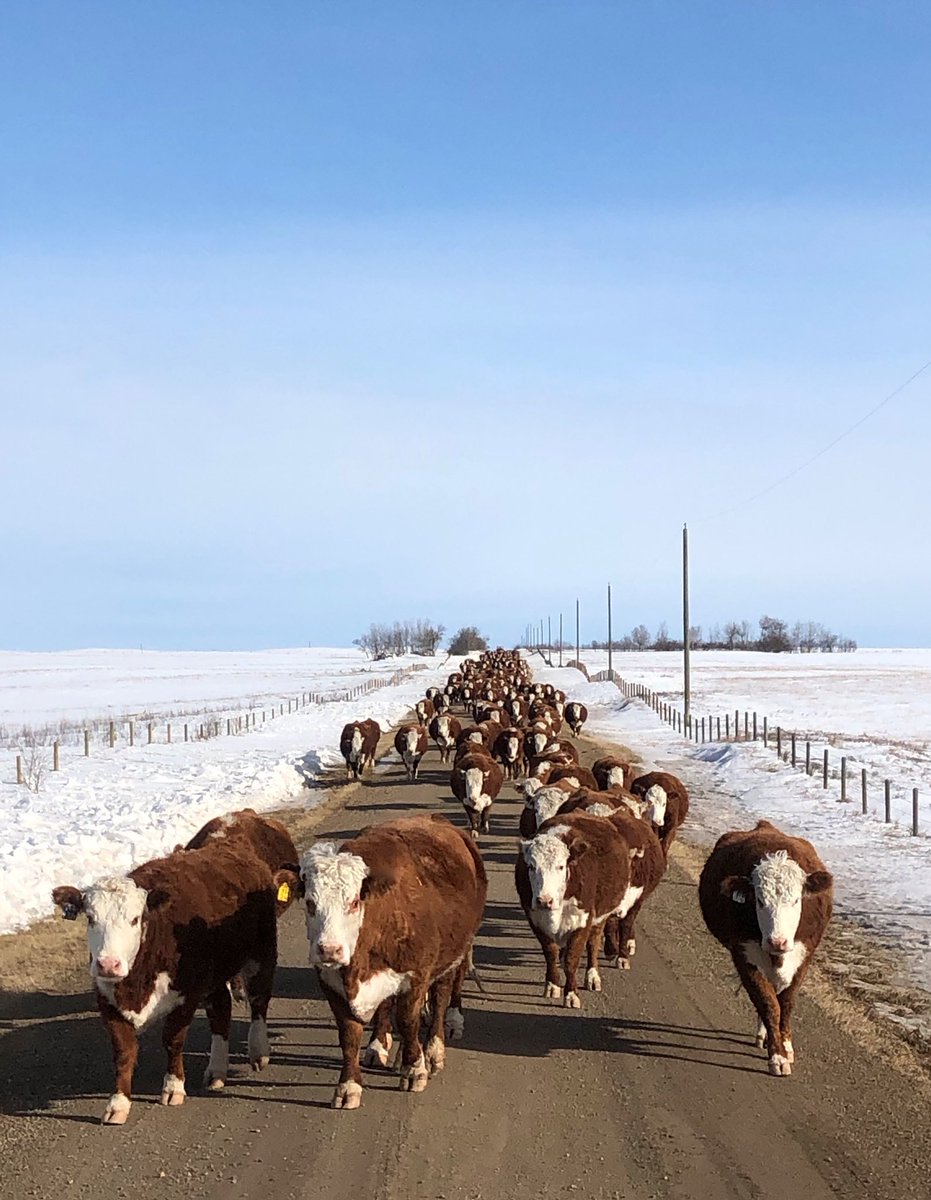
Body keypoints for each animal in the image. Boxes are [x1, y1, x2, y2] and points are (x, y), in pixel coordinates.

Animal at [51, 840, 285, 1125]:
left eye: (135, 919)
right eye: (91, 918)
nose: (108, 964)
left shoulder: (187, 993)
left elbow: (173, 1040)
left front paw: (173, 1087)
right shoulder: (107, 1000)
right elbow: (124, 1052)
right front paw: (118, 1103)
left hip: (261, 953)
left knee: (259, 1001)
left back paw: (259, 1051)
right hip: (215, 975)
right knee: (221, 1011)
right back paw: (216, 1071)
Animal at [296, 815, 487, 1109]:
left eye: (354, 902)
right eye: (309, 903)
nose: (329, 950)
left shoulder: (416, 974)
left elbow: (408, 1020)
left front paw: (414, 1070)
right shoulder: (330, 981)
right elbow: (349, 1033)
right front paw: (348, 1086)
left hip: (452, 956)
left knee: (441, 999)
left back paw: (432, 1051)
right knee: (388, 1004)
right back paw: (380, 1047)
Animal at [515, 812, 634, 1008]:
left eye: (561, 866)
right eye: (531, 866)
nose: (544, 900)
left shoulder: (583, 921)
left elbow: (573, 959)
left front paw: (571, 994)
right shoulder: (535, 919)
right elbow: (551, 953)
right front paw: (552, 985)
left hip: (600, 917)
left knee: (593, 943)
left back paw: (592, 976)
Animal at [698, 820, 832, 1077]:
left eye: (796, 900)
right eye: (759, 901)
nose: (776, 942)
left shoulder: (805, 956)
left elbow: (786, 1002)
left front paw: (785, 1046)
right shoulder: (743, 955)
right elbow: (768, 1003)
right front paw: (777, 1056)